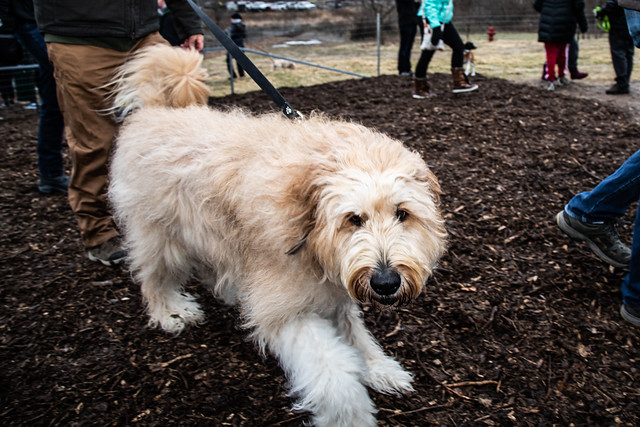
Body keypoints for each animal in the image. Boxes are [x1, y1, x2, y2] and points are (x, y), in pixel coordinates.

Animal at [110, 44, 448, 427]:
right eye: (353, 219)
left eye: (402, 213)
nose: (386, 283)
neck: (306, 216)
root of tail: (154, 110)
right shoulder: (286, 308)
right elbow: (333, 374)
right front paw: (349, 415)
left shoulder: (333, 292)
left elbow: (356, 336)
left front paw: (380, 369)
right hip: (160, 237)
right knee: (152, 277)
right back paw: (169, 312)